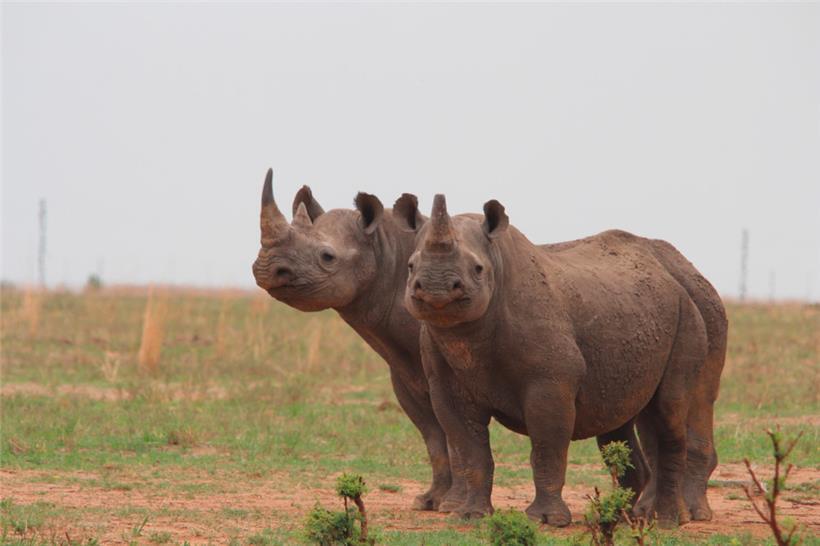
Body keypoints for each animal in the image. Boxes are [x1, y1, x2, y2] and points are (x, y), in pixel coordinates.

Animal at [400, 194, 726, 527]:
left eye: (478, 269)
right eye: (410, 266)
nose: (436, 289)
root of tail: (678, 278)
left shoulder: (550, 381)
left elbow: (547, 446)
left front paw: (546, 519)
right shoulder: (445, 384)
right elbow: (469, 448)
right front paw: (471, 515)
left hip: (688, 315)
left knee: (668, 409)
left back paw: (666, 521)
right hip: (636, 311)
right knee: (622, 418)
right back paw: (620, 517)